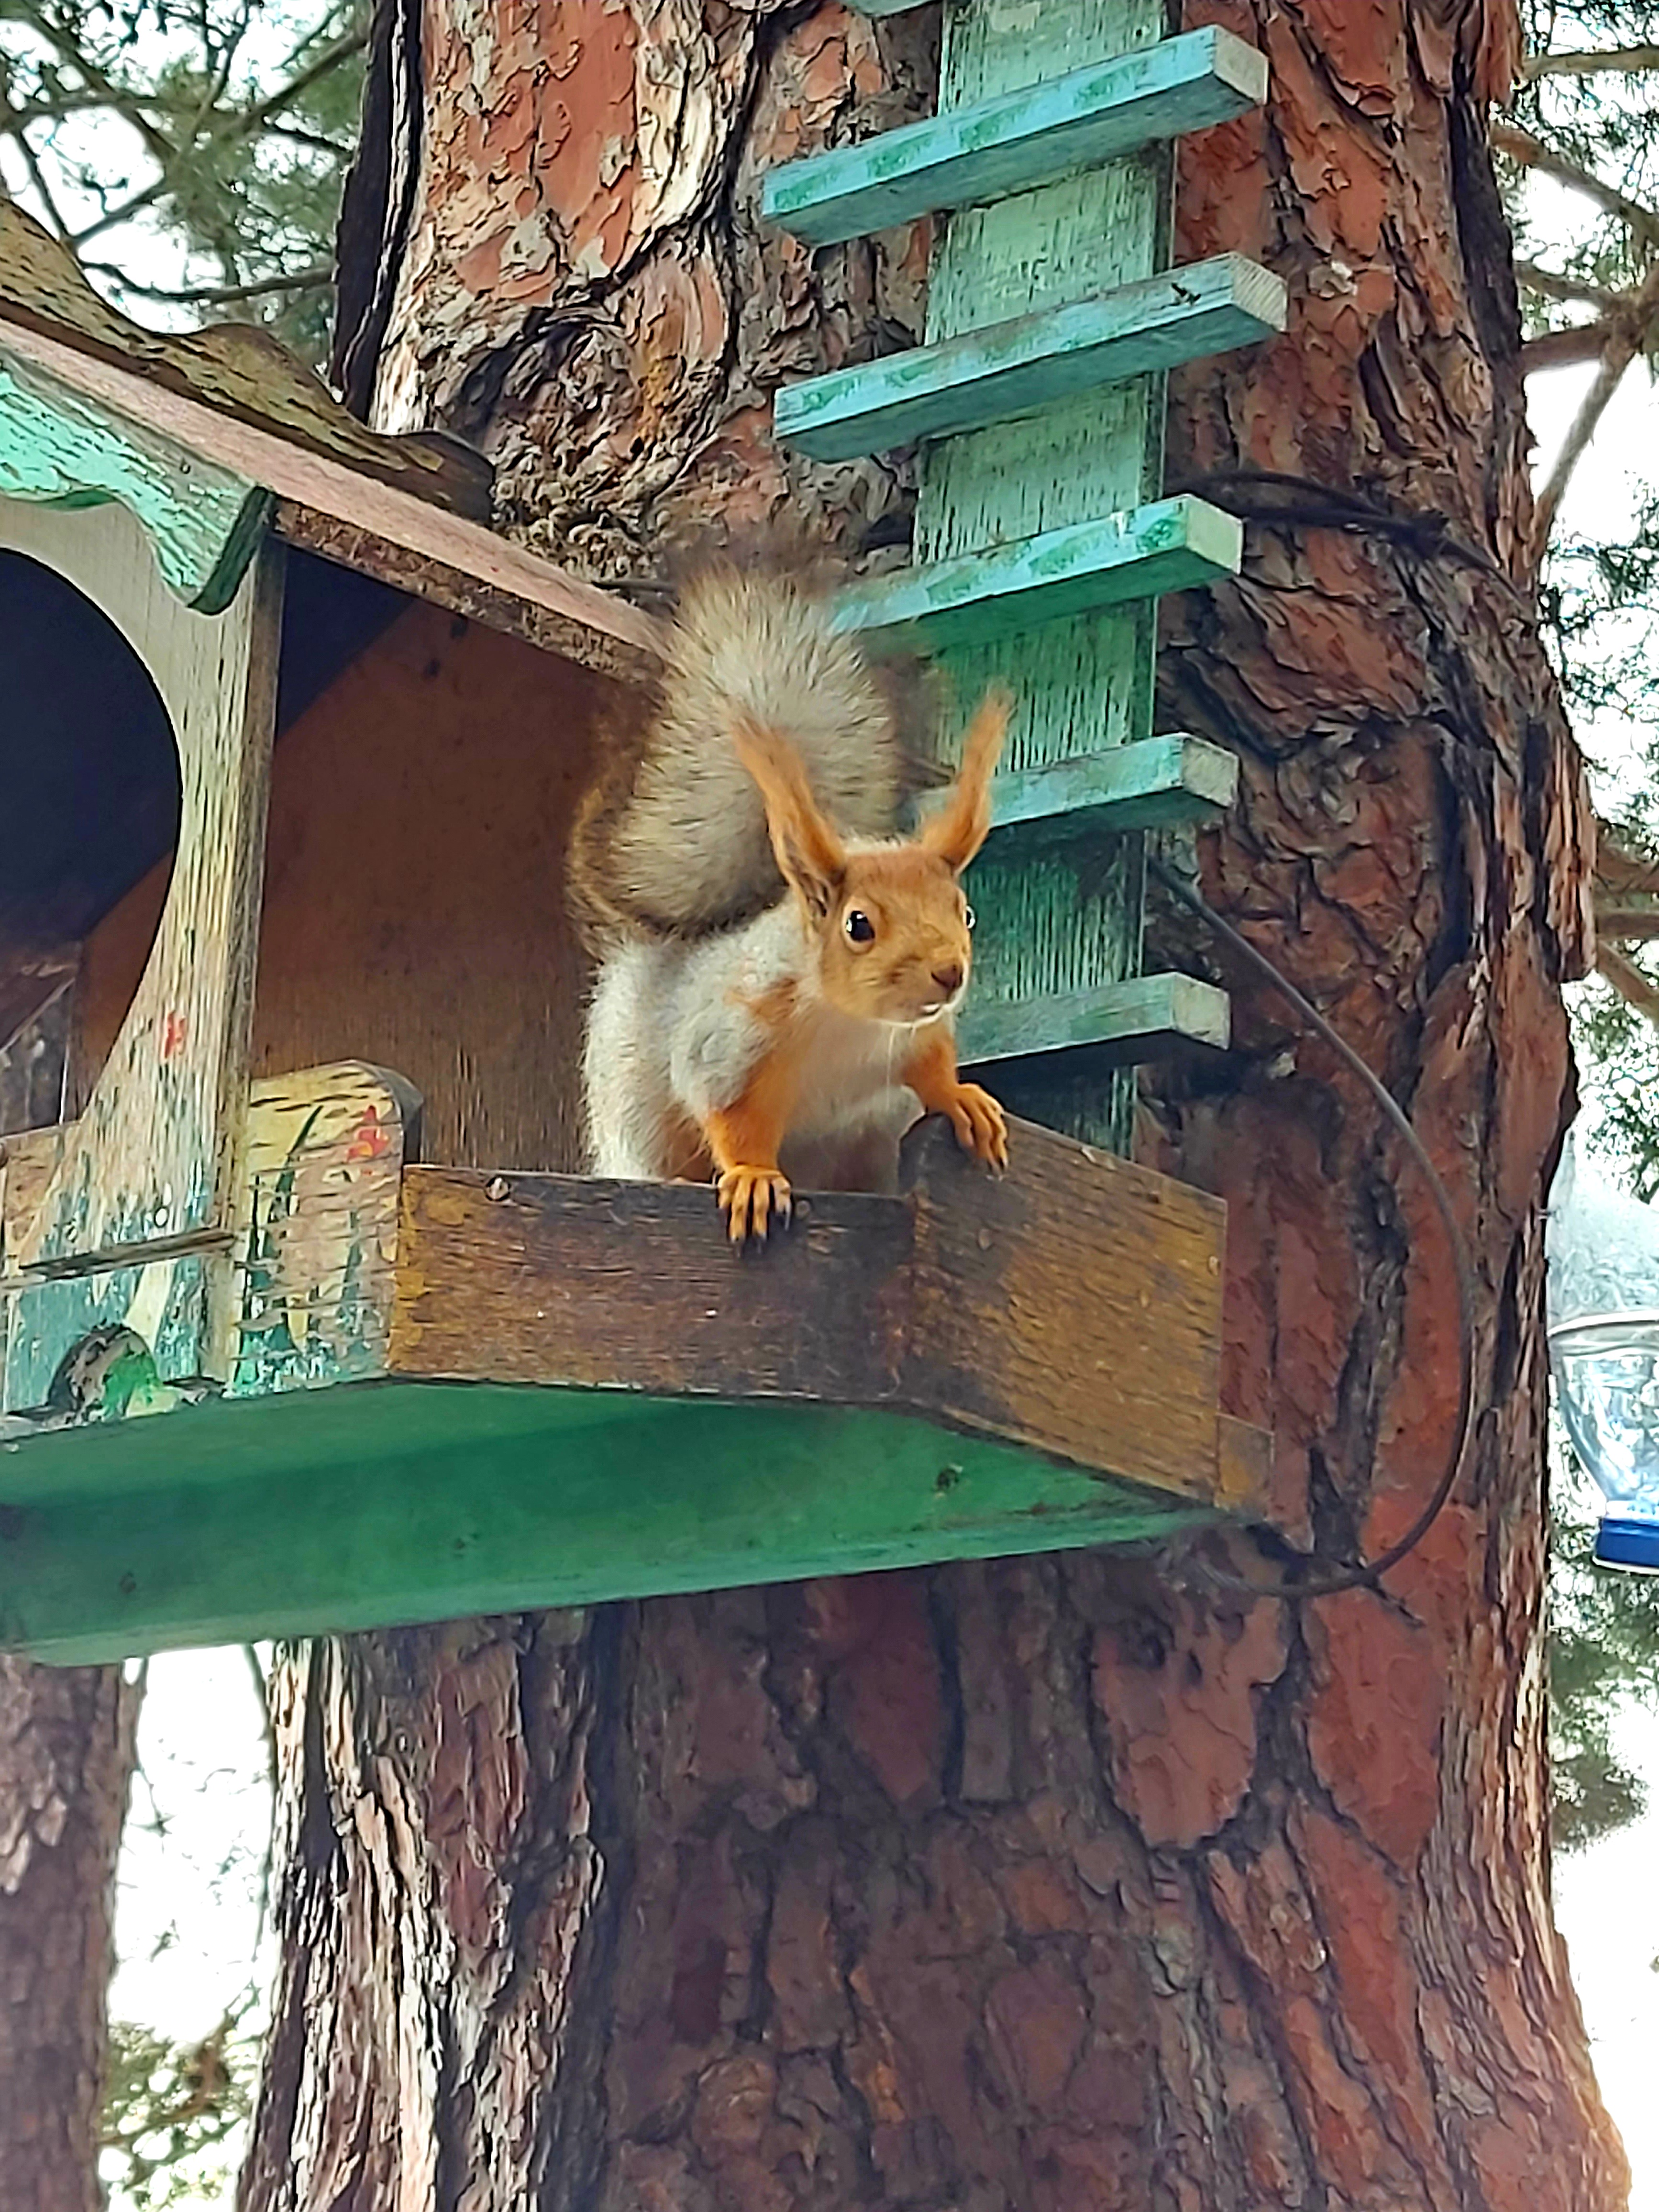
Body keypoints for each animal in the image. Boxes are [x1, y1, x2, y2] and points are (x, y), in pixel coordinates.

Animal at [570, 558, 1012, 1244]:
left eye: (964, 912)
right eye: (859, 924)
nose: (950, 973)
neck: (852, 1025)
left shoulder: (917, 1040)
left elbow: (933, 1072)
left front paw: (964, 1098)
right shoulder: (727, 1045)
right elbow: (732, 1118)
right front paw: (753, 1178)